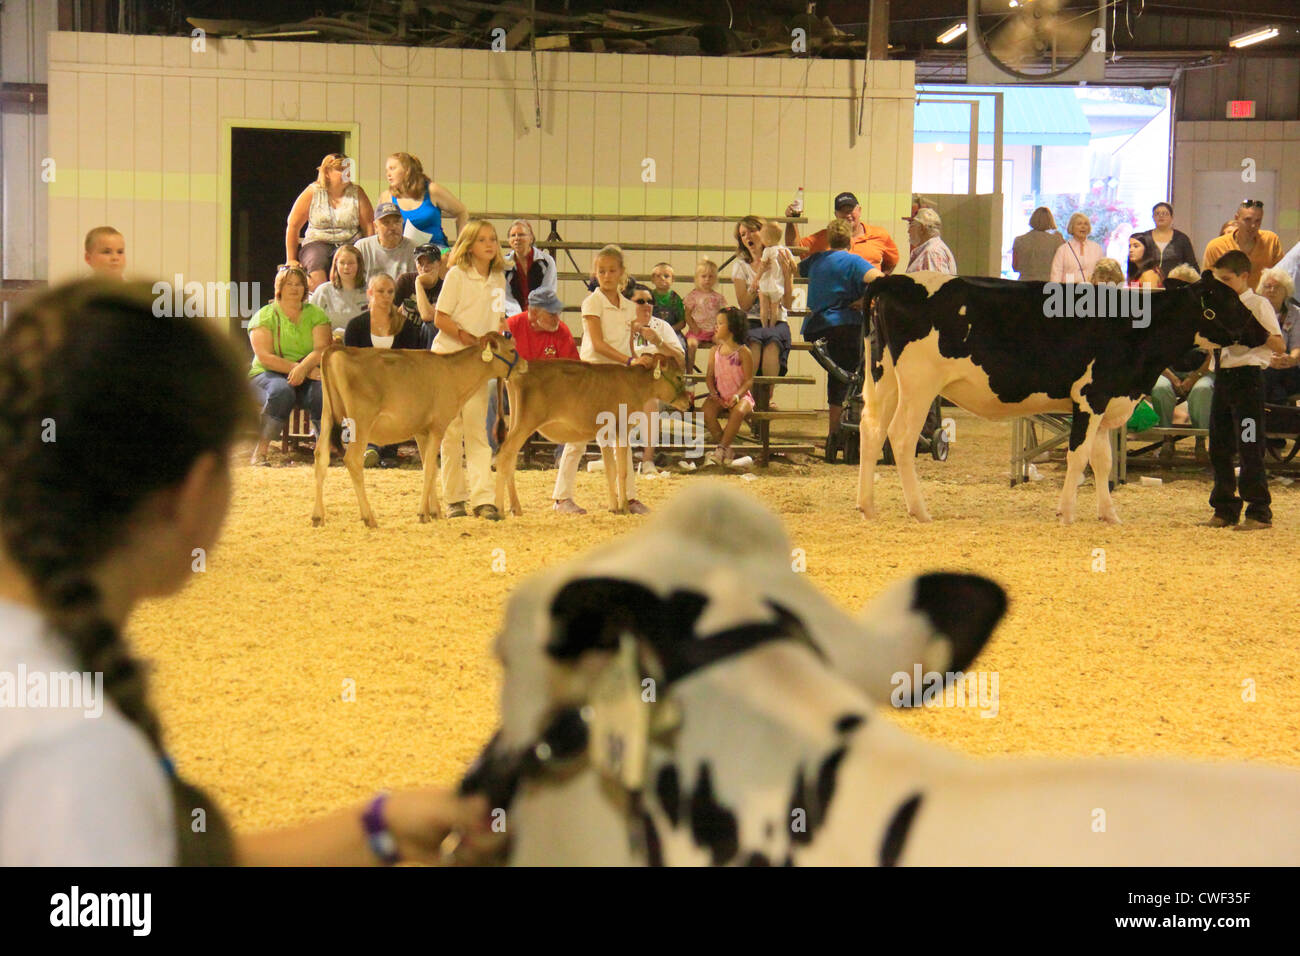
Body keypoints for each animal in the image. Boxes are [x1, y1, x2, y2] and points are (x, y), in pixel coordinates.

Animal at [852, 270, 1268, 522]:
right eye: (1231, 301)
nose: (1265, 333)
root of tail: (895, 279)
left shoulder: (1106, 404)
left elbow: (1103, 461)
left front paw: (1109, 515)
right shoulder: (1089, 398)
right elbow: (1079, 457)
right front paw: (1066, 513)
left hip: (884, 379)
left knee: (870, 431)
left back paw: (868, 506)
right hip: (919, 385)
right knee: (901, 437)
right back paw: (919, 510)